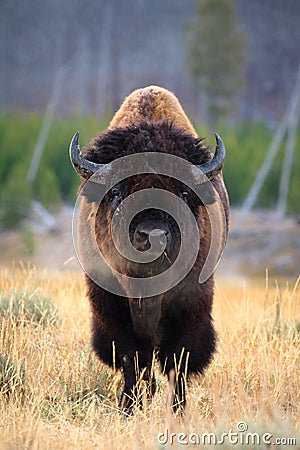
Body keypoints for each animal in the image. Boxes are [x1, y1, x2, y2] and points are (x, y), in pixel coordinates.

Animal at [69, 85, 230, 414]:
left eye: (184, 192)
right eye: (117, 191)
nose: (153, 235)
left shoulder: (192, 300)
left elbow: (178, 359)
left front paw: (178, 411)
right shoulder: (109, 303)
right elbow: (131, 355)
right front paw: (129, 407)